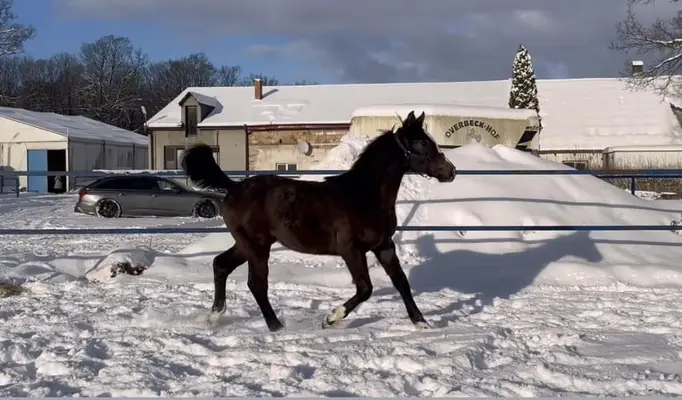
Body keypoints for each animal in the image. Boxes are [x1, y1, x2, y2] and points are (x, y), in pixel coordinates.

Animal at [181, 110, 457, 332]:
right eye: (422, 142)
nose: (451, 171)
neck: (364, 195)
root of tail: (233, 188)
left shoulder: (384, 246)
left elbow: (401, 282)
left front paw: (421, 323)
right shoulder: (351, 250)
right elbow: (365, 288)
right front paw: (330, 319)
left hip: (247, 245)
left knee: (220, 265)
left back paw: (214, 318)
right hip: (257, 248)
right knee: (256, 284)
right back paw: (276, 326)